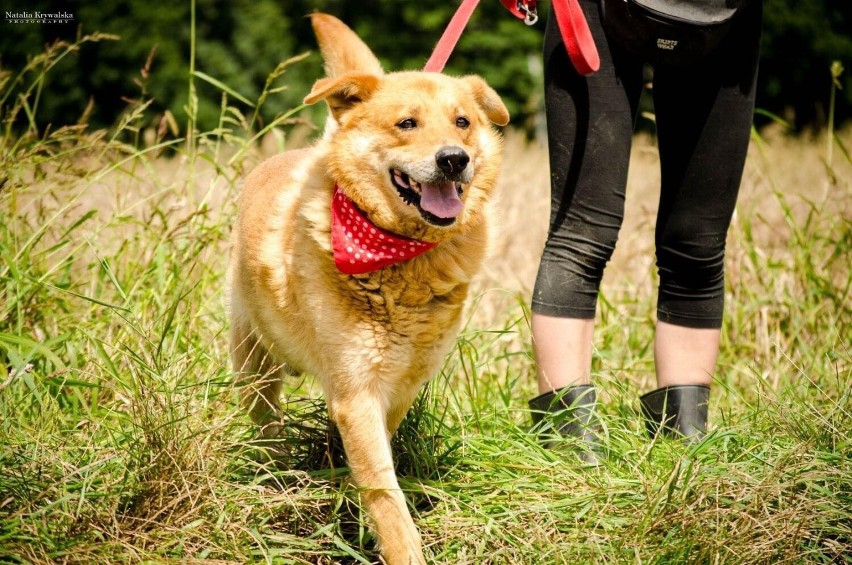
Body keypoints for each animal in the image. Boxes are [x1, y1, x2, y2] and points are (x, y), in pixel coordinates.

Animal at [228, 14, 506, 564]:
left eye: (463, 122)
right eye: (407, 124)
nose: (454, 159)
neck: (402, 258)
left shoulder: (396, 388)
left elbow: (374, 469)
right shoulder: (358, 392)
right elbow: (386, 498)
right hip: (254, 367)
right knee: (267, 427)